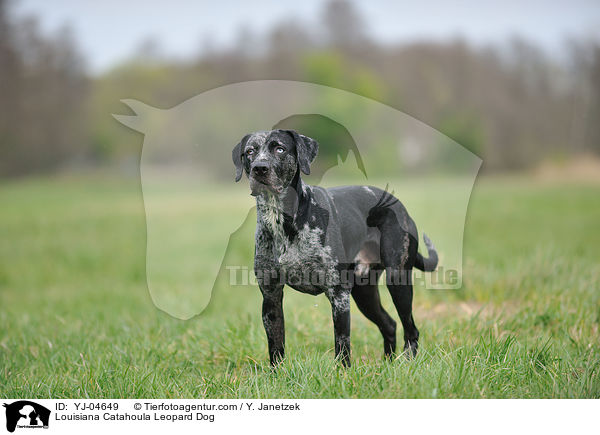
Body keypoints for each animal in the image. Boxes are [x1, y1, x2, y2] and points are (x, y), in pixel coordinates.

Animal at [232, 130, 438, 368]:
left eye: (280, 149)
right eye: (250, 151)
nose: (260, 168)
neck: (281, 220)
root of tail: (399, 205)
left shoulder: (338, 293)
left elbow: (342, 345)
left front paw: (343, 372)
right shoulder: (271, 296)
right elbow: (276, 347)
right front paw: (277, 375)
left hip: (398, 281)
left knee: (411, 330)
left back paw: (407, 362)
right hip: (364, 293)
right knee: (390, 325)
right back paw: (387, 364)